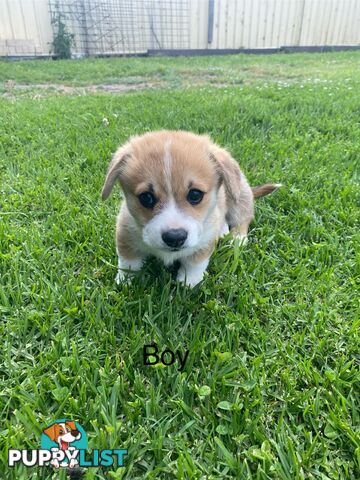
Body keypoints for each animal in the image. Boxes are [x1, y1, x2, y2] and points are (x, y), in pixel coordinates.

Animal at [102, 131, 282, 286]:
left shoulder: (204, 242)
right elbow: (128, 262)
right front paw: (124, 281)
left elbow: (195, 264)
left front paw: (188, 284)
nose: (175, 237)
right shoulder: (125, 233)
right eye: (146, 197)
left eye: (195, 194)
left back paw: (237, 238)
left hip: (240, 197)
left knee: (242, 218)